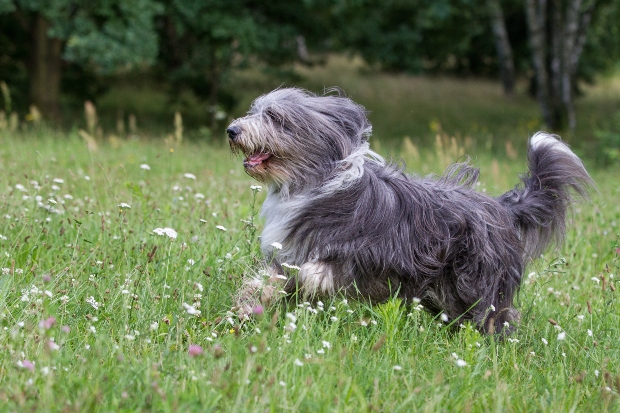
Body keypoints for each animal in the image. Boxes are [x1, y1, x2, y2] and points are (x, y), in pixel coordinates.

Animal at [226, 88, 592, 334]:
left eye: (274, 117)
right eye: (254, 110)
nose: (232, 130)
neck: (311, 183)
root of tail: (498, 206)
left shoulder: (366, 255)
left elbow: (315, 271)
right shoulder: (288, 249)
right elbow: (268, 278)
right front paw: (247, 307)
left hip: (477, 280)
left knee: (495, 314)